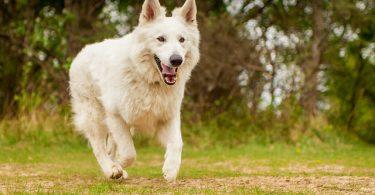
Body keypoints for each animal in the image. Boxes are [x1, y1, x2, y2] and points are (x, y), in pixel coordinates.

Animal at [69, 0, 201, 181]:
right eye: (161, 39)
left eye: (182, 39)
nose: (176, 60)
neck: (148, 80)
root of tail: (83, 51)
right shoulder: (116, 117)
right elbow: (129, 153)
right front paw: (117, 167)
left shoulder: (167, 117)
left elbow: (177, 143)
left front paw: (170, 169)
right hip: (94, 117)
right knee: (98, 147)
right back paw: (111, 169)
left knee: (109, 146)